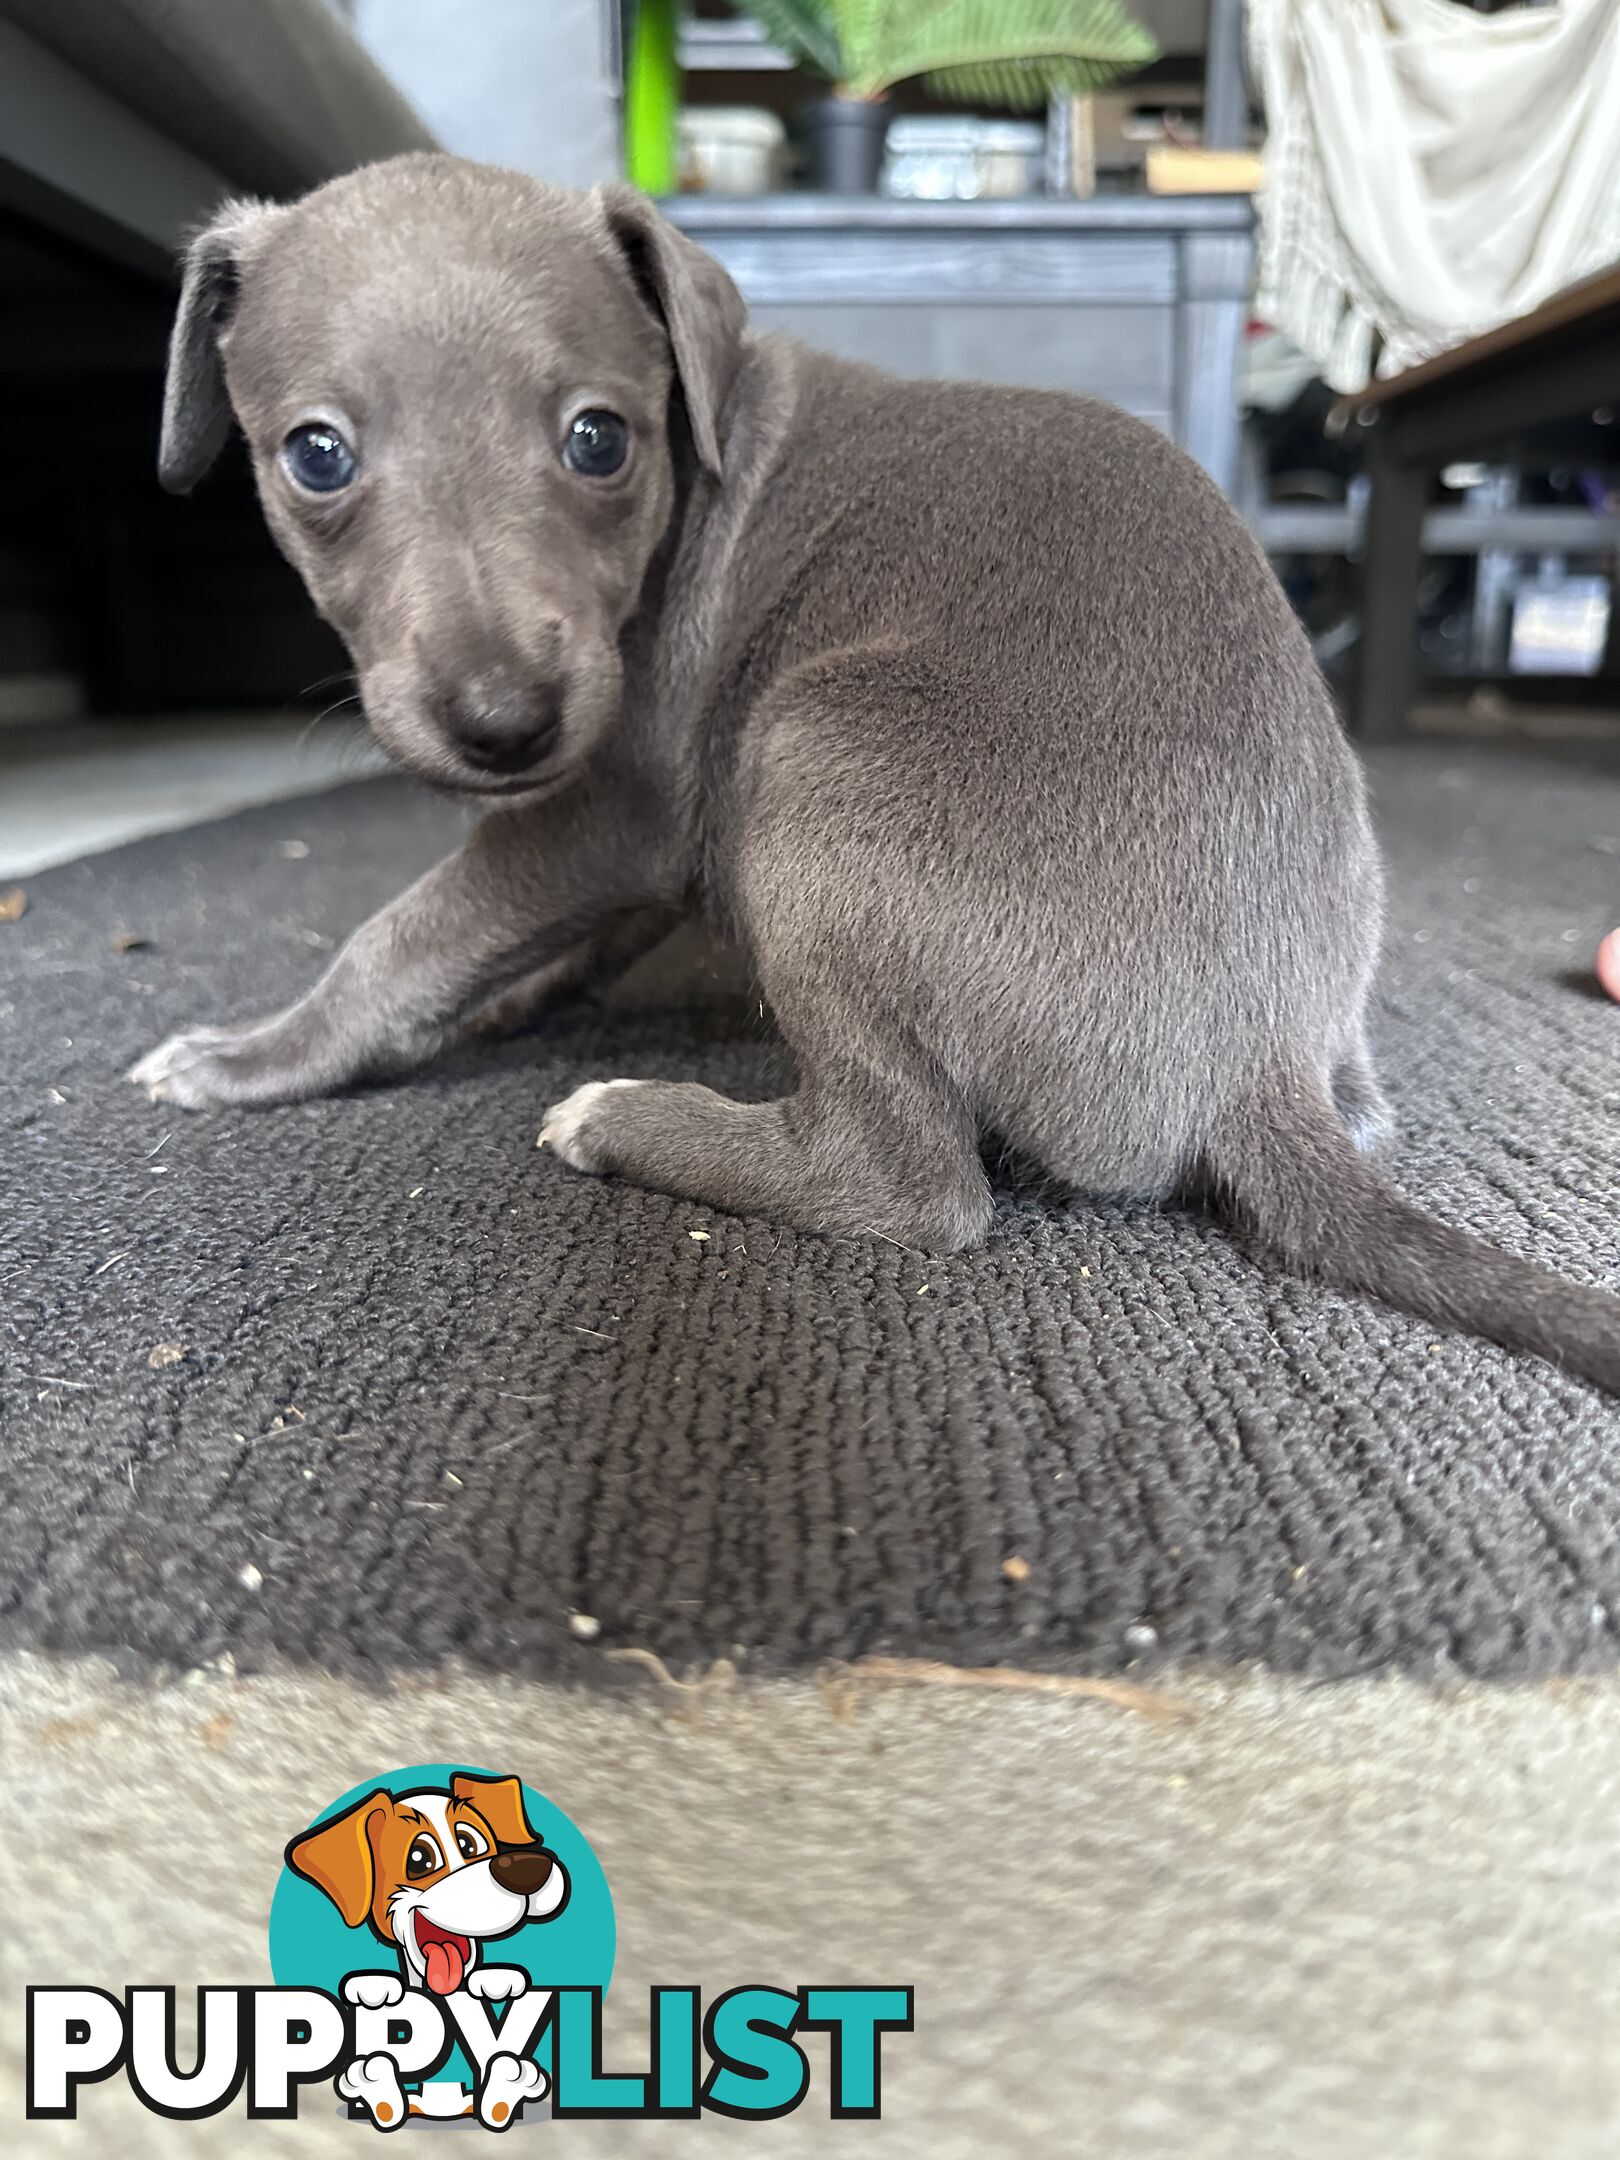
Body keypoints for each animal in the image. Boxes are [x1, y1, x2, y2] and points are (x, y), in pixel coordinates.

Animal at [136, 156, 1620, 1399]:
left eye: (598, 440)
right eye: (316, 455)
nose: (503, 723)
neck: (703, 453)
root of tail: (1256, 1072)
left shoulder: (616, 803)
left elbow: (405, 933)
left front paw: (261, 1053)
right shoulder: (644, 844)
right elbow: (518, 947)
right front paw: (483, 1014)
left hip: (812, 764)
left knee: (907, 1183)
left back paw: (626, 1118)